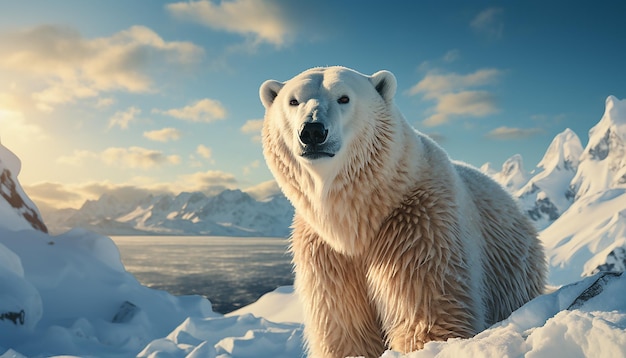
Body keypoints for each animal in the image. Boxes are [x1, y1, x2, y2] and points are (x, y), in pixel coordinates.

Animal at [256, 65, 544, 356]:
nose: (313, 131)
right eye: (294, 101)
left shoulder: (419, 227)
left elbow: (427, 311)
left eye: (344, 98)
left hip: (510, 269)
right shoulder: (325, 253)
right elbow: (345, 326)